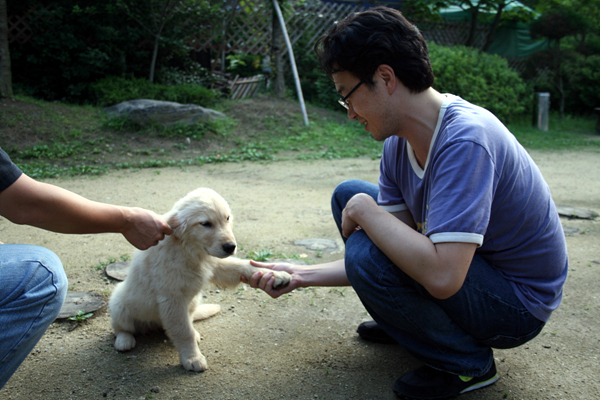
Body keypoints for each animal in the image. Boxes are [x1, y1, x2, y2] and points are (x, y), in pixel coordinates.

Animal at [110, 188, 292, 372]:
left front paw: (275, 274)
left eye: (227, 218)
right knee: (120, 328)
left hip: (193, 302)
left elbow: (243, 265)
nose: (231, 247)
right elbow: (184, 332)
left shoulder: (215, 266)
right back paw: (124, 341)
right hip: (119, 304)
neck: (191, 251)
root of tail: (153, 324)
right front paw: (193, 358)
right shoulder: (172, 299)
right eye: (205, 224)